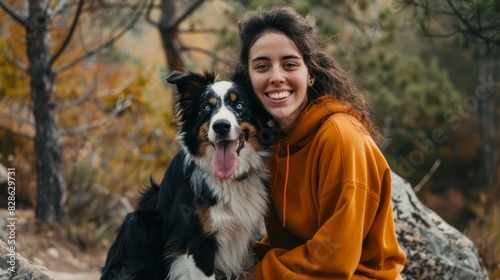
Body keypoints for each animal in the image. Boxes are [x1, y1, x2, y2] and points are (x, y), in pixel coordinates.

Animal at [101, 70, 272, 280]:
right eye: (207, 107)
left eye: (239, 105)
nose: (221, 126)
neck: (227, 179)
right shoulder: (197, 242)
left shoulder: (245, 241)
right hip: (138, 223)